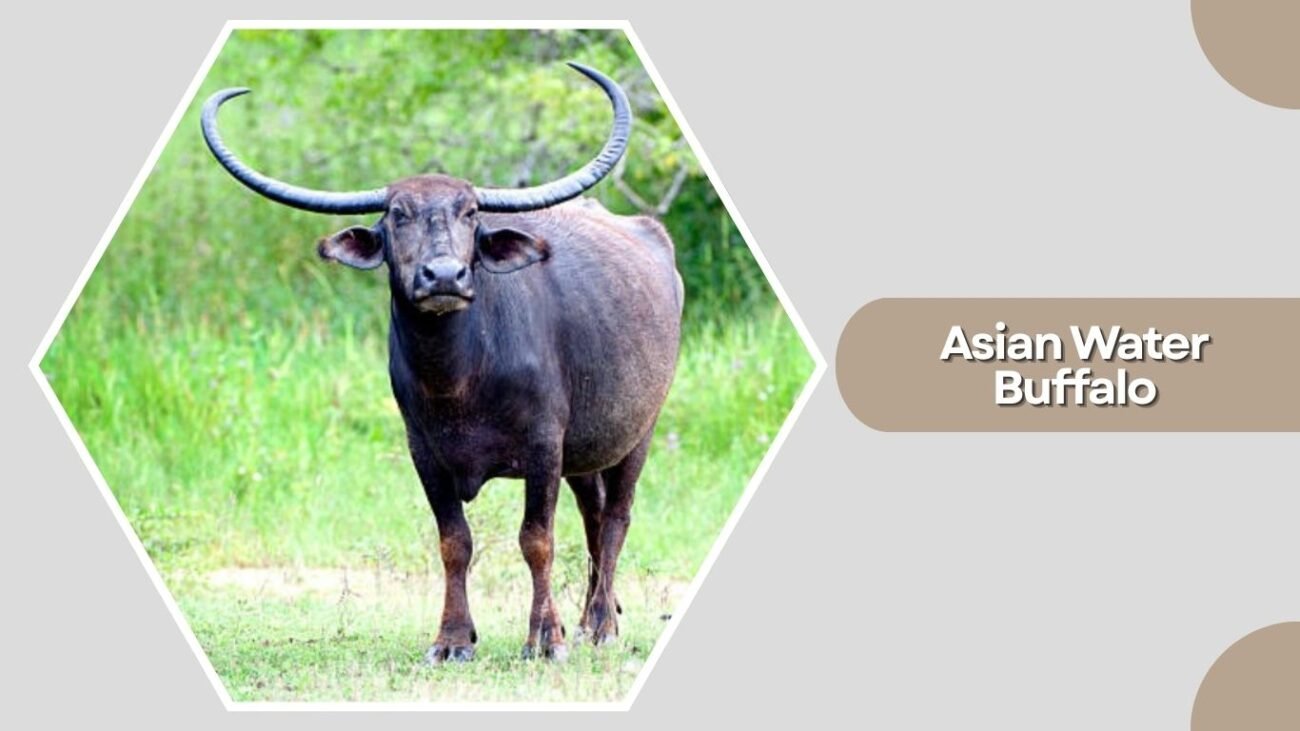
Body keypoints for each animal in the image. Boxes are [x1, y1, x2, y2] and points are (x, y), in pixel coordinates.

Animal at [201, 63, 683, 663]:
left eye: (471, 212)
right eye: (396, 214)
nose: (444, 276)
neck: (459, 379)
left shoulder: (544, 445)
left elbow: (537, 540)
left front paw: (544, 638)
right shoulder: (425, 452)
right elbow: (455, 541)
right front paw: (453, 638)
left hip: (638, 431)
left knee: (616, 517)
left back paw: (597, 625)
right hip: (587, 450)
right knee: (594, 515)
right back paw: (599, 615)